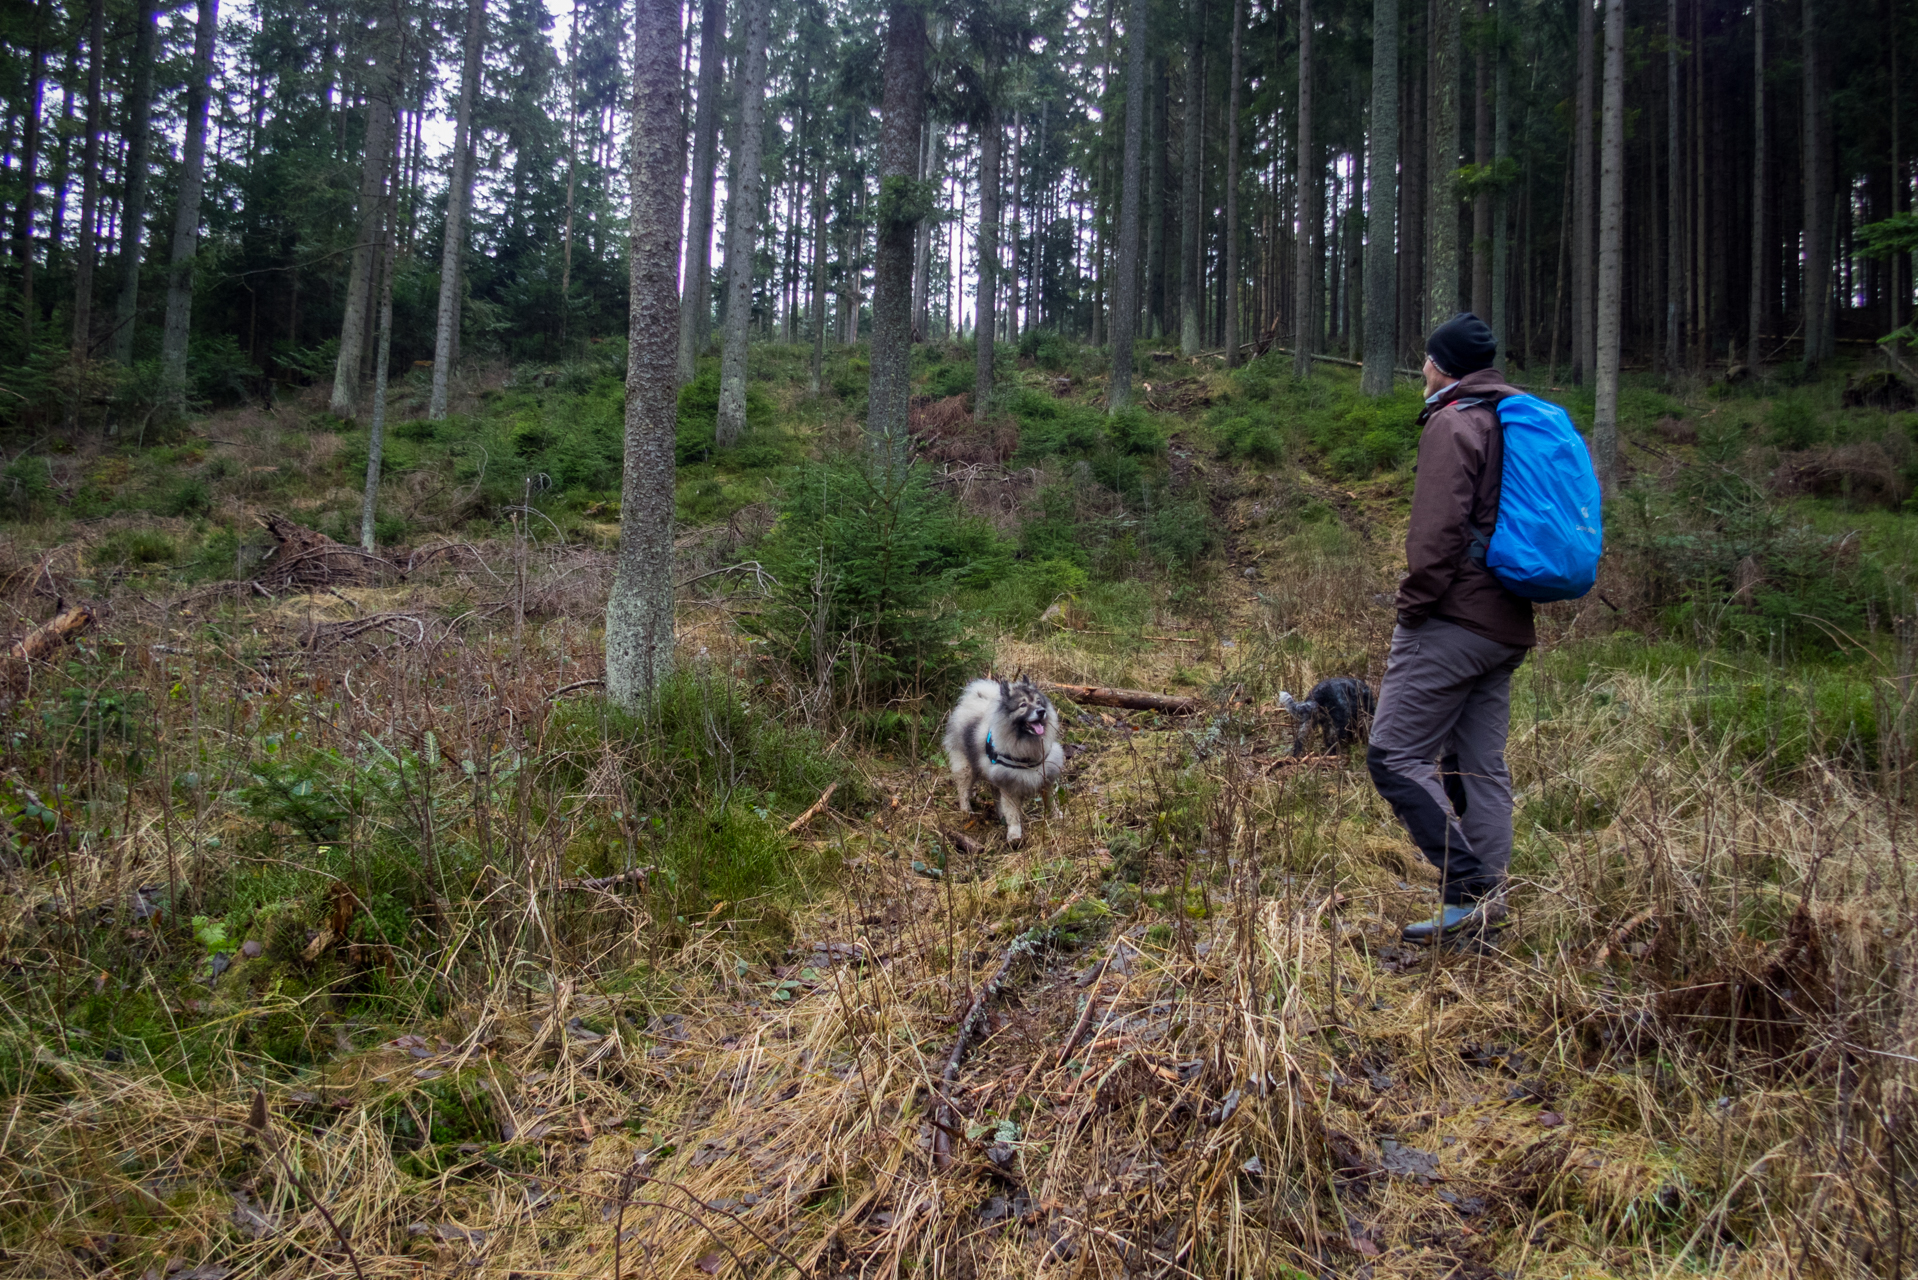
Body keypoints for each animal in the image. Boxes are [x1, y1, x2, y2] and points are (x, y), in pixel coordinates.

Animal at [943, 675, 1066, 844]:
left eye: (1039, 702)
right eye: (1023, 705)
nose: (1041, 711)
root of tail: (972, 701)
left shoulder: (1046, 776)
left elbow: (1051, 800)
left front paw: (1056, 815)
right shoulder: (1010, 784)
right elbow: (1012, 813)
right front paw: (1014, 835)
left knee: (995, 793)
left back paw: (999, 814)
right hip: (967, 768)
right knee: (963, 791)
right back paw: (967, 812)